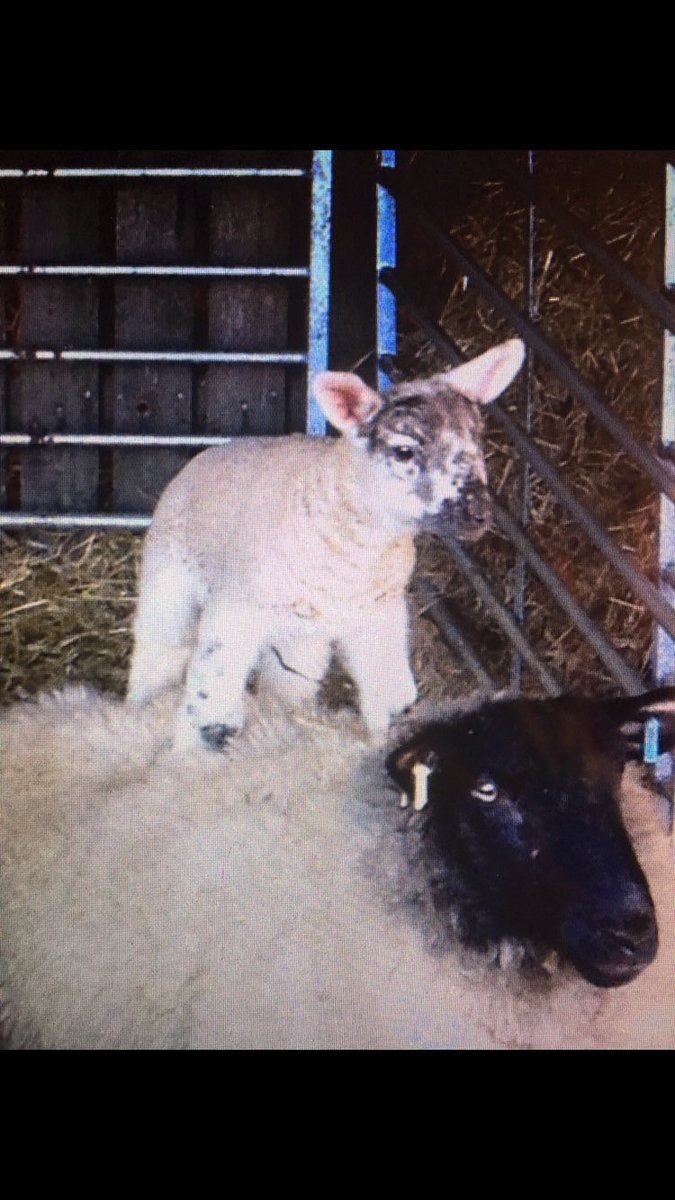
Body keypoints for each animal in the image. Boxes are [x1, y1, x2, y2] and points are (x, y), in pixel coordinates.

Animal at [126, 339, 525, 751]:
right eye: (404, 451)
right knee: (159, 649)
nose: (479, 512)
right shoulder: (236, 611)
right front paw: (193, 752)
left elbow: (390, 696)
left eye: (476, 443)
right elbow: (211, 695)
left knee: (287, 682)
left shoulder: (380, 616)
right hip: (170, 584)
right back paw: (140, 705)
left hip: (302, 638)